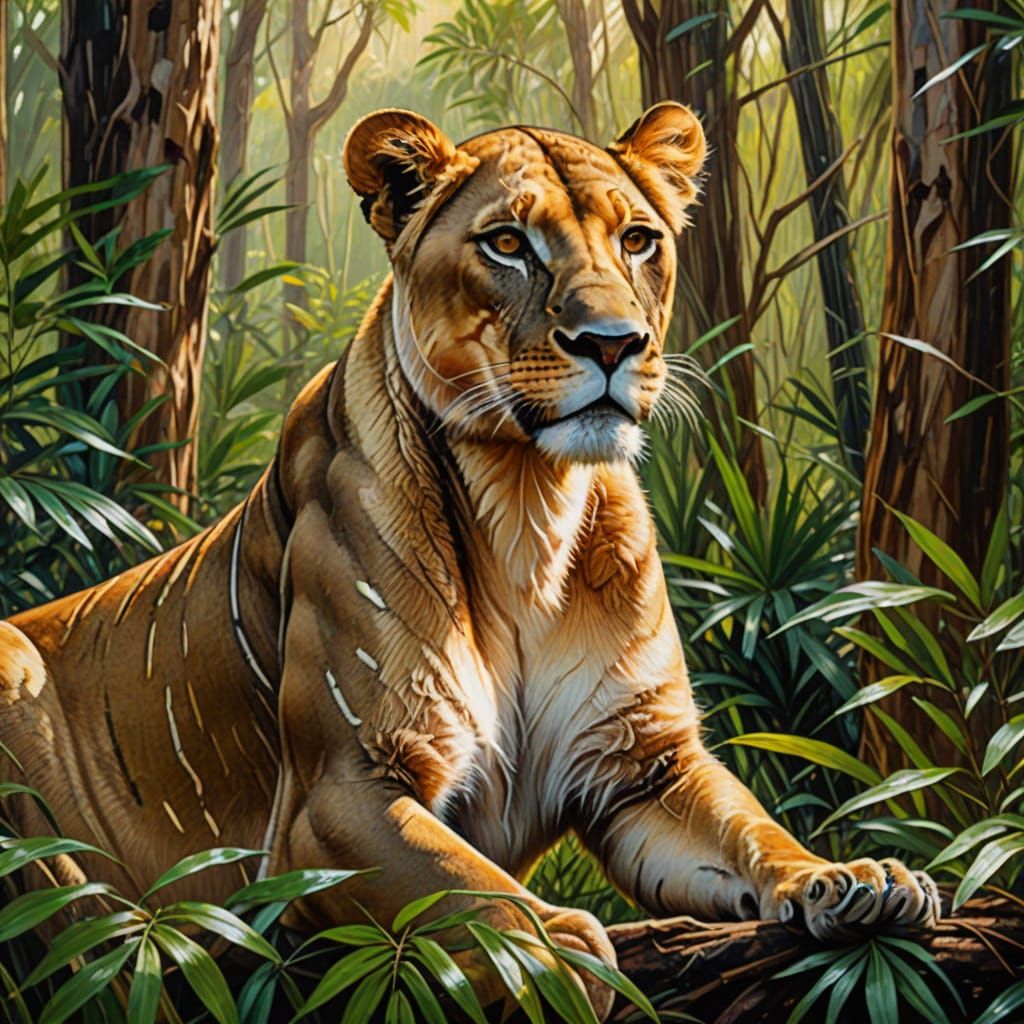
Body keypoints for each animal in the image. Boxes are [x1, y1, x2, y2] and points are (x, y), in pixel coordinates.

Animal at [0, 104, 938, 1017]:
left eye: (638, 239)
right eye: (509, 243)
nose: (613, 343)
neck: (529, 510)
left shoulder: (639, 767)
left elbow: (751, 828)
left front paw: (850, 878)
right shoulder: (339, 791)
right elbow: (467, 886)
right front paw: (553, 953)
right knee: (88, 934)